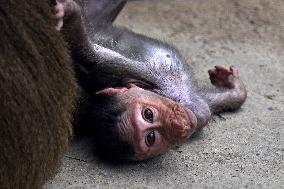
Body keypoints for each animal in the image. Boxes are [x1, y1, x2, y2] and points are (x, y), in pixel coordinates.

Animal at [56, 0, 246, 161]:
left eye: (148, 113)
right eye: (151, 137)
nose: (180, 125)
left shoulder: (135, 73)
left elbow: (91, 55)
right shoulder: (192, 109)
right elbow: (93, 58)